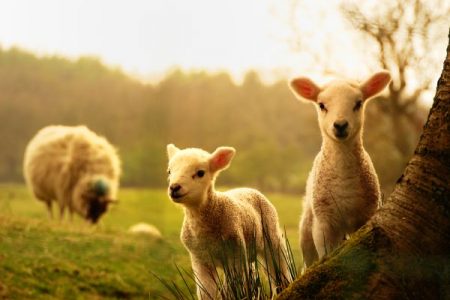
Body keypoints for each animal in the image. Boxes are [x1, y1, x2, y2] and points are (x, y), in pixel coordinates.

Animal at [167, 144, 290, 298]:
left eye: (200, 173)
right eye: (169, 171)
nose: (174, 187)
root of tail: (249, 188)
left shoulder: (235, 254)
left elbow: (234, 289)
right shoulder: (200, 260)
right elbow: (206, 291)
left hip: (271, 236)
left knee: (279, 268)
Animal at [290, 71, 392, 268]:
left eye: (358, 103)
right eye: (321, 105)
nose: (340, 125)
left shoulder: (365, 216)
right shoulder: (323, 223)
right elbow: (326, 255)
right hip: (307, 226)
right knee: (307, 261)